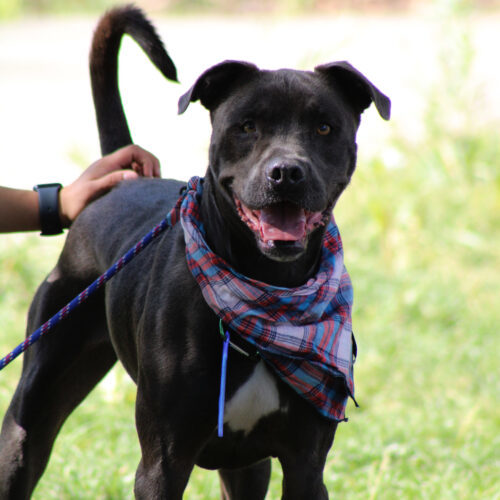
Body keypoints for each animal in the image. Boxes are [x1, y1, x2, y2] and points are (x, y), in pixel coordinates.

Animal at [0, 4, 388, 500]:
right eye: (247, 126)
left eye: (324, 126)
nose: (286, 172)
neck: (268, 288)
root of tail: (119, 184)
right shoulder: (162, 463)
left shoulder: (305, 464)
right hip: (32, 409)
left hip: (248, 469)